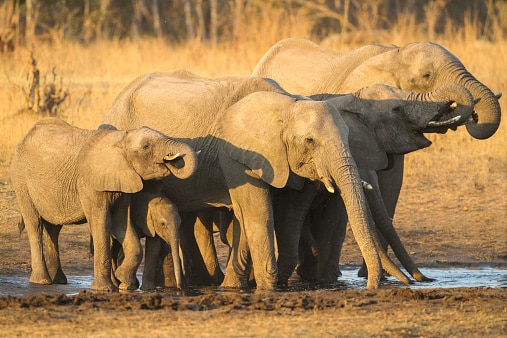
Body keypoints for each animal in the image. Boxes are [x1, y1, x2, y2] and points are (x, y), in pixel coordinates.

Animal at [11, 116, 198, 290]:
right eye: (146, 147)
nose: (173, 160)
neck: (120, 138)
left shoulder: (122, 184)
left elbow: (121, 223)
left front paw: (124, 281)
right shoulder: (89, 184)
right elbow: (101, 223)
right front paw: (104, 289)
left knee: (53, 228)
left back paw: (59, 281)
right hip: (21, 178)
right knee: (34, 224)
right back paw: (41, 281)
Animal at [98, 69, 408, 290]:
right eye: (310, 141)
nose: (370, 286)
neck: (286, 105)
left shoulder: (280, 159)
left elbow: (279, 214)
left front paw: (240, 286)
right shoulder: (238, 154)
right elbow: (258, 212)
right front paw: (267, 288)